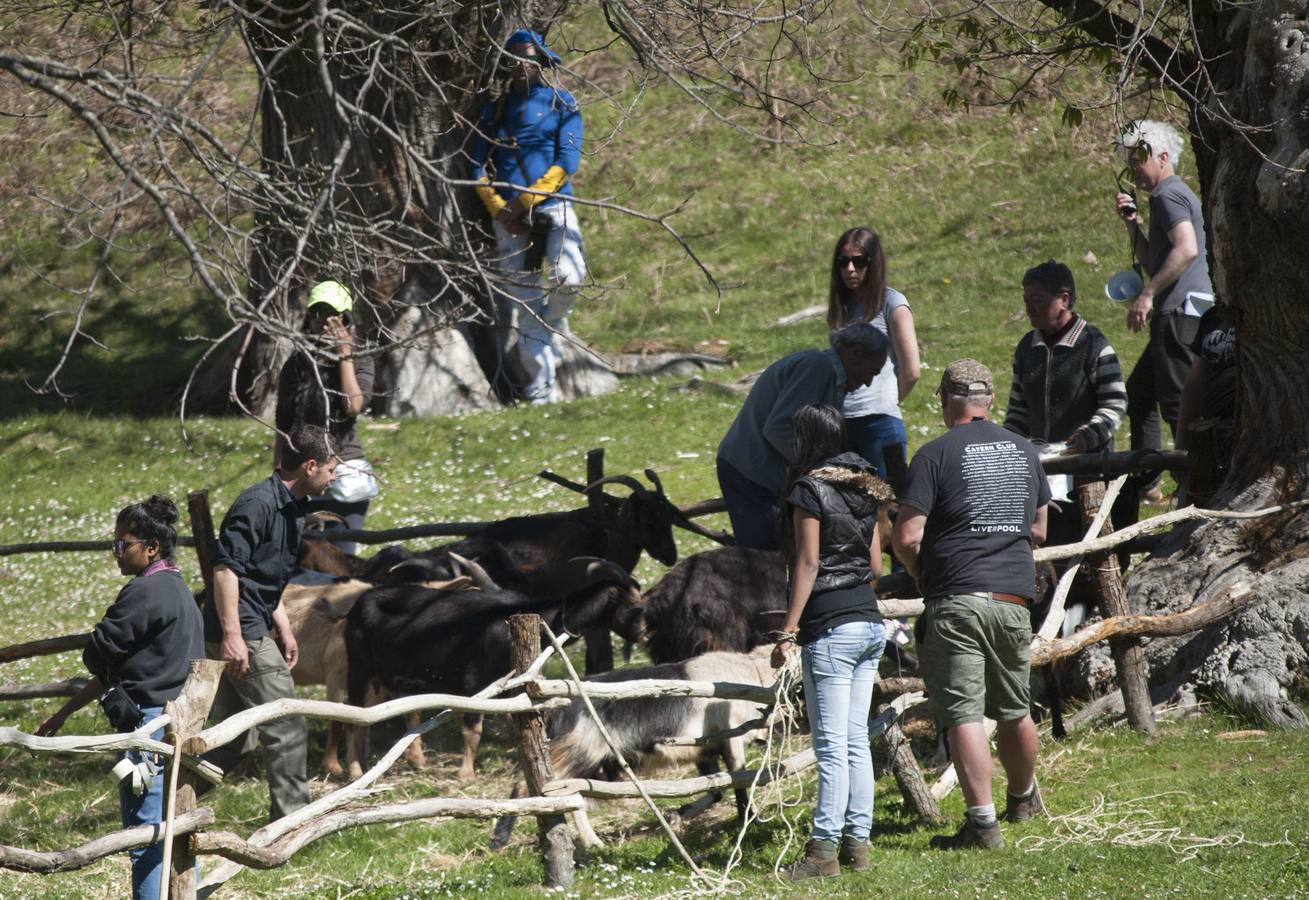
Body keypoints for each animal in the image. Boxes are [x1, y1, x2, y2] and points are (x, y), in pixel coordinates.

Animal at [342, 562, 638, 779]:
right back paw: (356, 771)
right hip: (358, 669)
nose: (642, 630)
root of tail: (357, 604)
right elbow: (473, 730)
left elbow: (516, 719)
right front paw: (466, 775)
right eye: (630, 602)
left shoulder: (512, 685)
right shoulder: (475, 682)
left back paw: (411, 761)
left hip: (385, 677)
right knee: (352, 717)